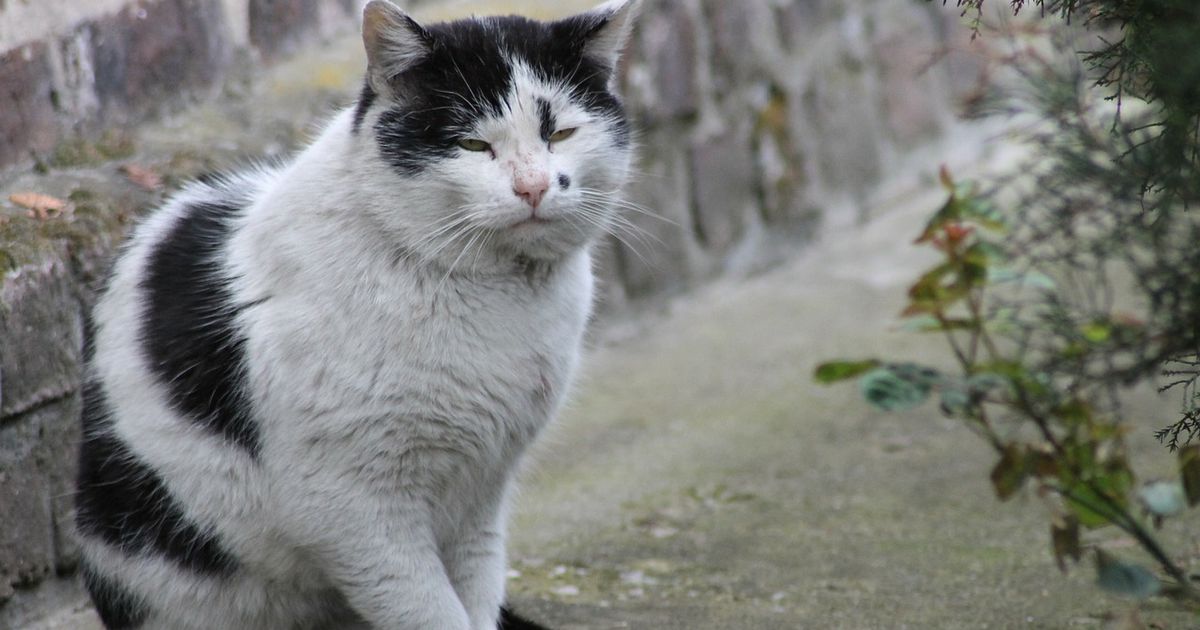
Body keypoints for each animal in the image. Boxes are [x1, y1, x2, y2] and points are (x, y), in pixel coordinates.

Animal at [71, 2, 643, 624]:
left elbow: (476, 598)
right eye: (472, 145)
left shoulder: (481, 498)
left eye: (560, 133)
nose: (534, 186)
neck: (500, 295)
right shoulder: (350, 507)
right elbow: (430, 611)